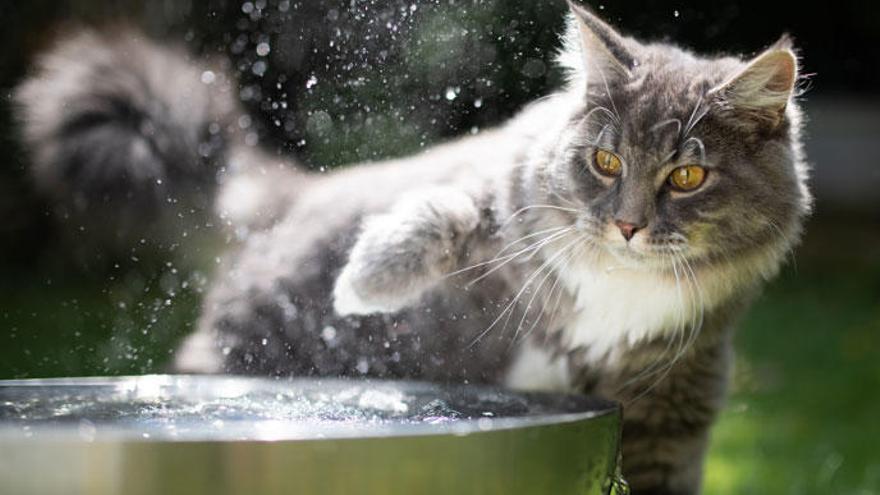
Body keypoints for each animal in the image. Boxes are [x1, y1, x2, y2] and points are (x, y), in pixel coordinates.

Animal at [13, 1, 812, 494]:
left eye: (686, 176)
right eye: (606, 162)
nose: (627, 225)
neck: (619, 283)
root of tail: (288, 199)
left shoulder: (668, 411)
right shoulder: (498, 189)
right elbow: (447, 210)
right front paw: (365, 281)